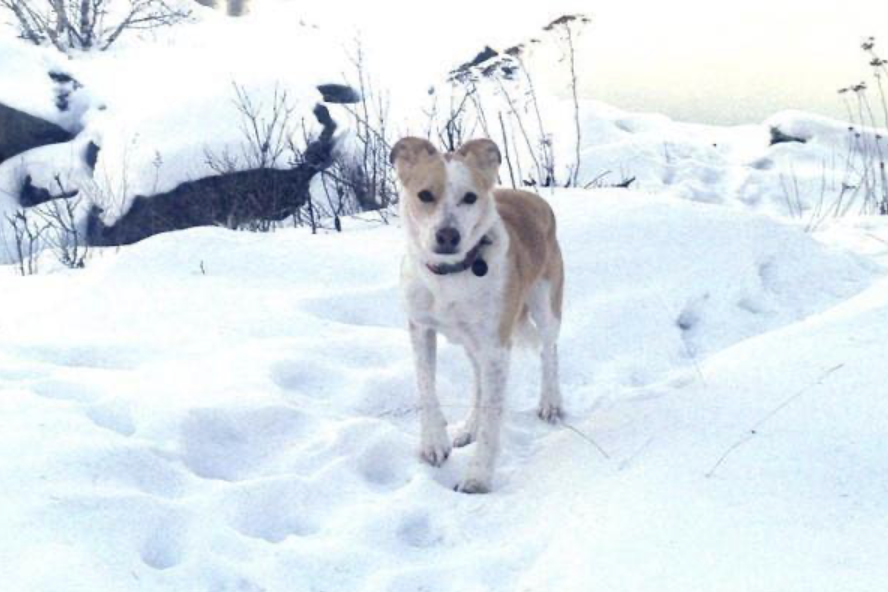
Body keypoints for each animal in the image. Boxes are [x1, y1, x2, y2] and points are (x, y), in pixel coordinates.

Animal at [391, 137, 564, 494]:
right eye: (425, 195)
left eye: (469, 197)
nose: (447, 235)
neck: (449, 278)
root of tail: (533, 198)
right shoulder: (420, 328)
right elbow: (426, 387)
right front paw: (434, 443)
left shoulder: (497, 347)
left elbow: (493, 418)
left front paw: (478, 477)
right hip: (472, 341)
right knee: (478, 381)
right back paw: (468, 427)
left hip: (545, 304)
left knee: (549, 351)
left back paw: (550, 402)